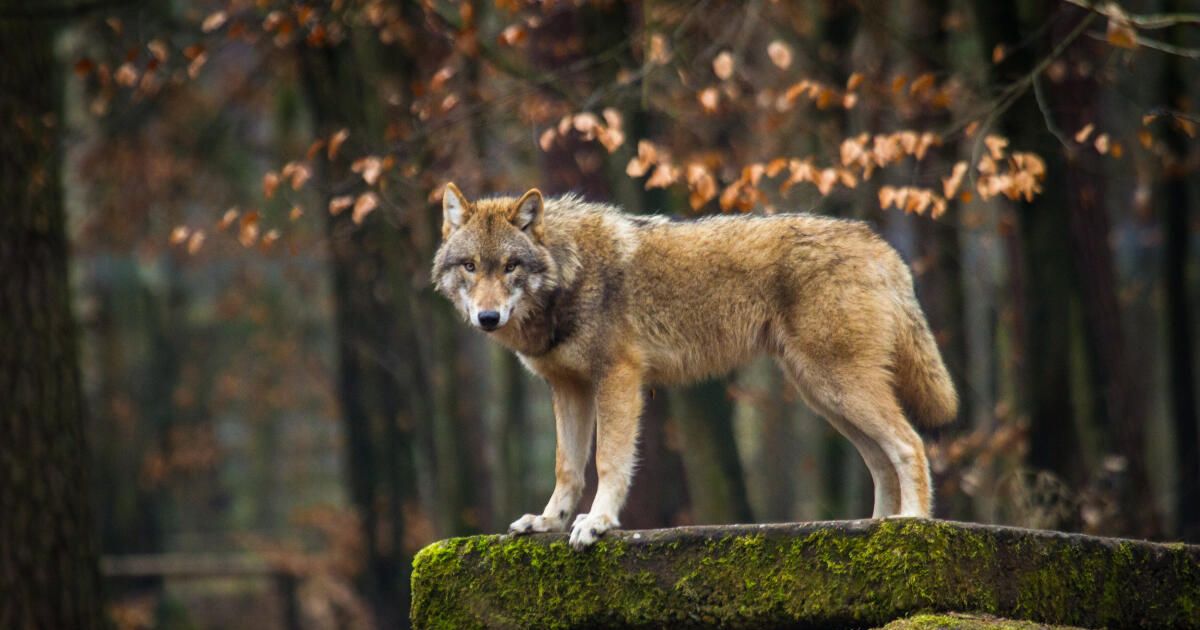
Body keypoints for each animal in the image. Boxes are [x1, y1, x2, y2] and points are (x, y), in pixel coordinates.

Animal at [432, 182, 957, 549]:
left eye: (510, 266)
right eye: (470, 266)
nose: (487, 318)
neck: (570, 271)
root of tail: (880, 245)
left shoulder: (618, 379)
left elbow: (608, 462)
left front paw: (597, 522)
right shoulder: (568, 388)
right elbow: (567, 468)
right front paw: (547, 522)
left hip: (837, 387)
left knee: (909, 444)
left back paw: (912, 523)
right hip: (824, 395)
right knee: (881, 459)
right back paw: (876, 527)